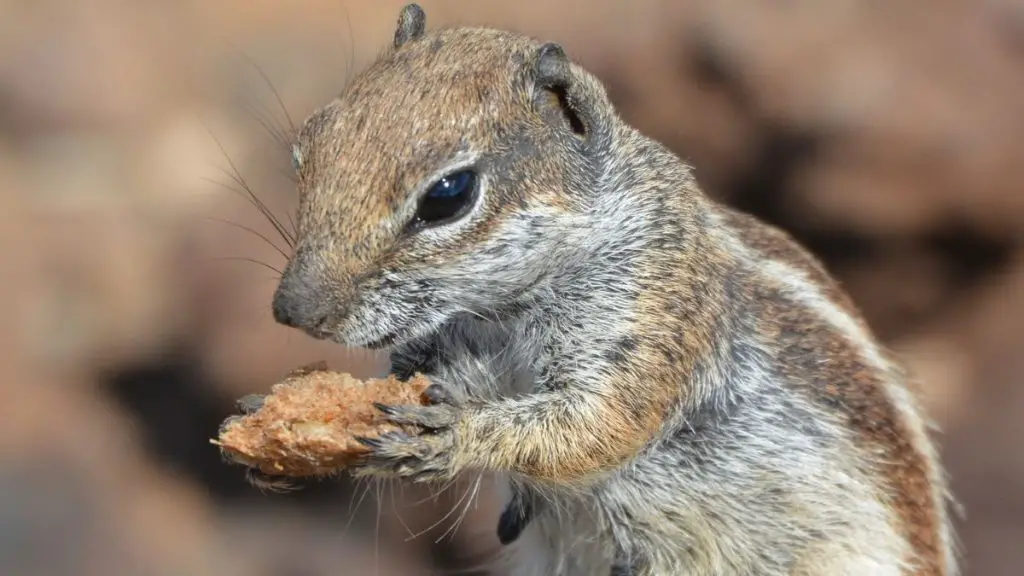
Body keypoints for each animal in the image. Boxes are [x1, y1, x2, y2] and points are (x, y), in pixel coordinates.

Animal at [270, 3, 958, 569]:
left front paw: (457, 434)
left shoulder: (656, 309)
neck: (502, 312)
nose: (291, 310)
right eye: (308, 142)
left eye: (449, 195)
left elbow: (596, 424)